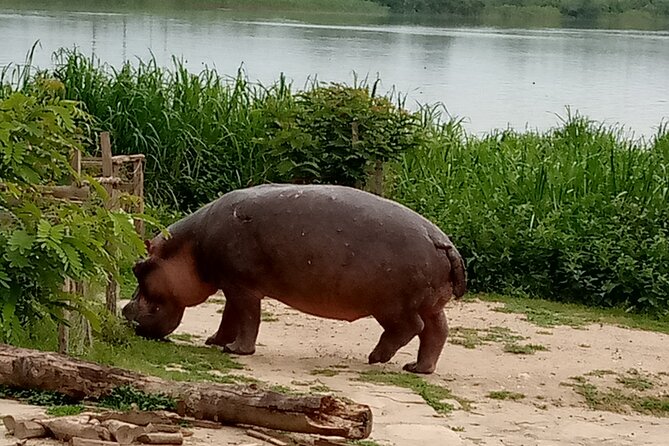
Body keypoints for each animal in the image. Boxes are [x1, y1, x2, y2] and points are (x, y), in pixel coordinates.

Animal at [122, 183, 466, 374]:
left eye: (139, 268)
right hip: (431, 303)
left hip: (392, 305)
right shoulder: (231, 285)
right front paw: (215, 342)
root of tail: (443, 242)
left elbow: (246, 318)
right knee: (437, 331)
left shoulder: (241, 286)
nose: (124, 310)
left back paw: (375, 358)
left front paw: (235, 350)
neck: (188, 247)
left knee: (410, 328)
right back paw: (418, 369)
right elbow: (229, 318)